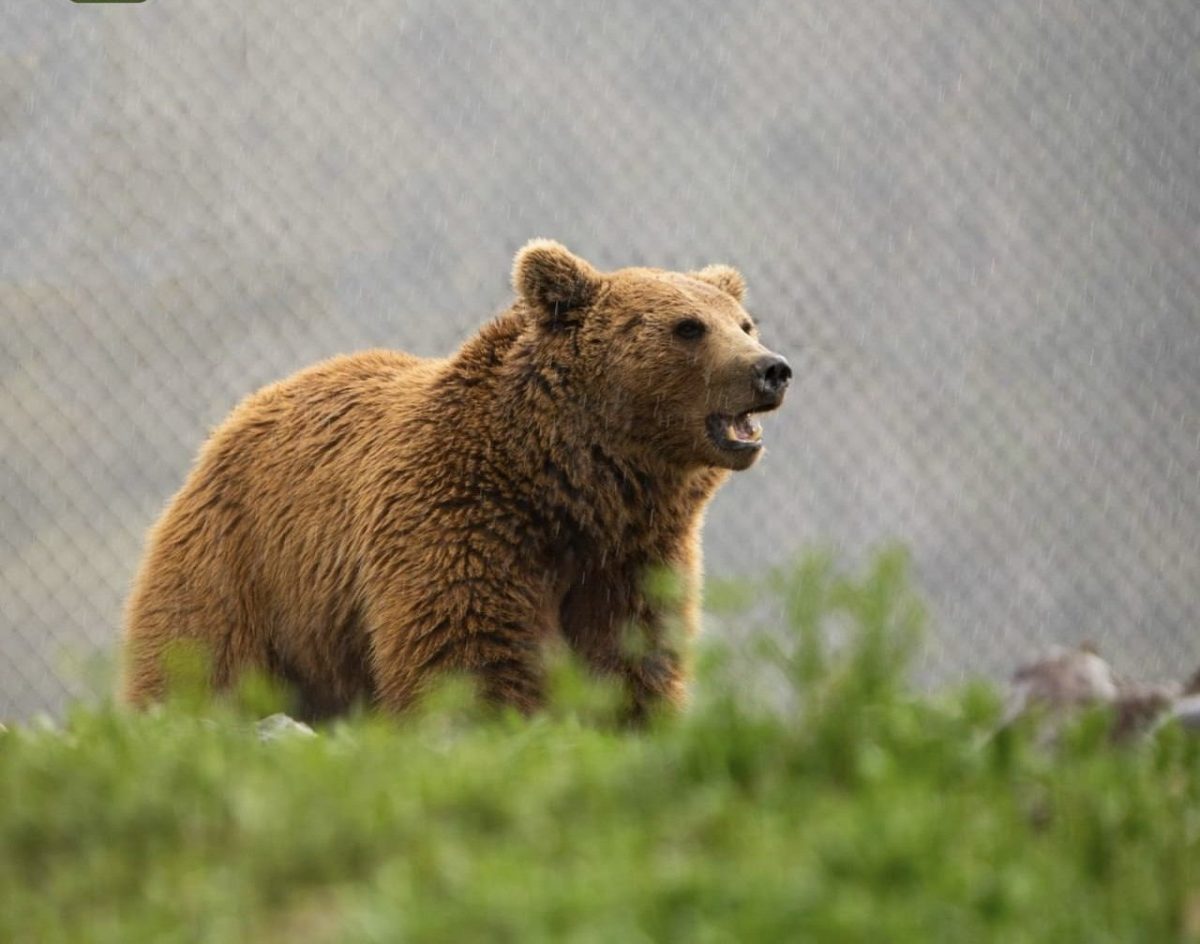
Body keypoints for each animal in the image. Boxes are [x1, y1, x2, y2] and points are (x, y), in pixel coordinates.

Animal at [121, 240, 791, 721]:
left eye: (745, 323)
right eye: (688, 327)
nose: (772, 369)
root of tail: (237, 418)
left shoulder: (633, 557)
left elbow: (630, 662)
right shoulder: (460, 521)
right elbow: (470, 658)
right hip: (246, 562)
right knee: (198, 661)